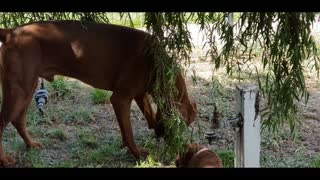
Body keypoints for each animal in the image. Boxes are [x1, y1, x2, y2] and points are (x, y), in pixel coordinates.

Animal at [0, 20, 196, 167]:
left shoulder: (140, 94)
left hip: (27, 87)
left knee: (18, 120)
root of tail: (11, 32)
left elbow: (147, 118)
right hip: (19, 91)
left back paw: (31, 144)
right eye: (182, 125)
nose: (166, 139)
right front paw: (137, 153)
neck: (157, 62)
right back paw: (4, 159)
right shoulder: (121, 98)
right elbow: (129, 132)